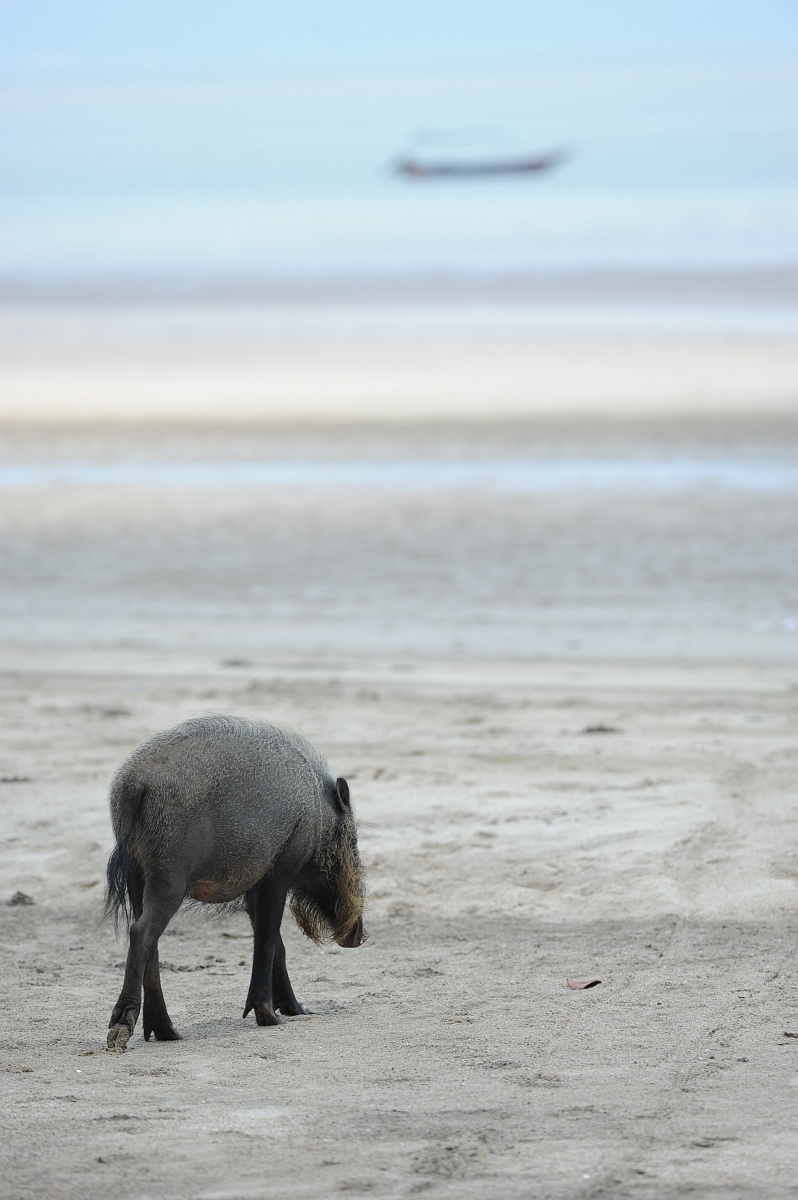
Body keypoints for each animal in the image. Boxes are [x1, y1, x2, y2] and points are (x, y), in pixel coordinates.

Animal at [104, 715, 366, 1051]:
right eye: (353, 842)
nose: (358, 936)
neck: (317, 815)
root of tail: (133, 785)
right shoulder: (280, 869)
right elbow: (268, 940)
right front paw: (269, 1017)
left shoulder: (255, 888)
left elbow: (275, 942)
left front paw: (297, 1010)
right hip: (169, 875)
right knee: (141, 932)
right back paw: (121, 1033)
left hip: (138, 876)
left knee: (149, 939)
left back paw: (167, 1032)